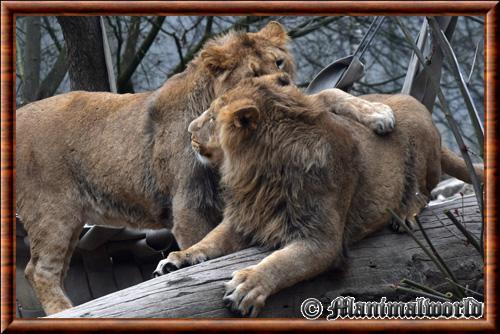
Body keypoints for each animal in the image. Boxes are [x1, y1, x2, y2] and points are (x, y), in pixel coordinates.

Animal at [155, 73, 484, 316]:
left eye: (212, 118)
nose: (189, 129)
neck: (257, 173)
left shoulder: (322, 240)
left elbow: (283, 263)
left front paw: (248, 285)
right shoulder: (245, 218)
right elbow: (210, 240)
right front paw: (180, 257)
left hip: (419, 135)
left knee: (423, 191)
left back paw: (404, 211)